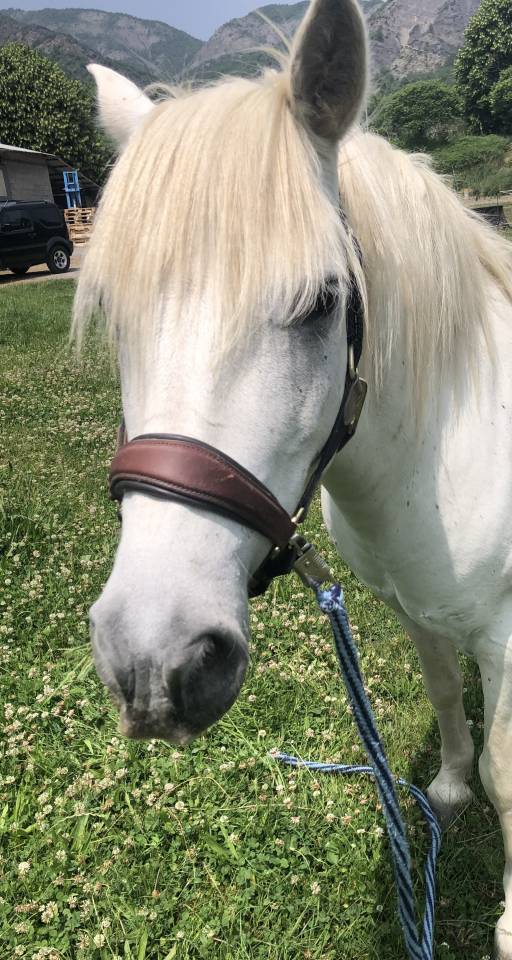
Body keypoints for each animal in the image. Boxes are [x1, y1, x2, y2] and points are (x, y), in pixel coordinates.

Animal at [73, 0, 512, 954]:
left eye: (320, 304)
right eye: (116, 313)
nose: (154, 666)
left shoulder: (508, 631)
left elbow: (510, 769)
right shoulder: (415, 609)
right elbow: (444, 693)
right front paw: (448, 791)